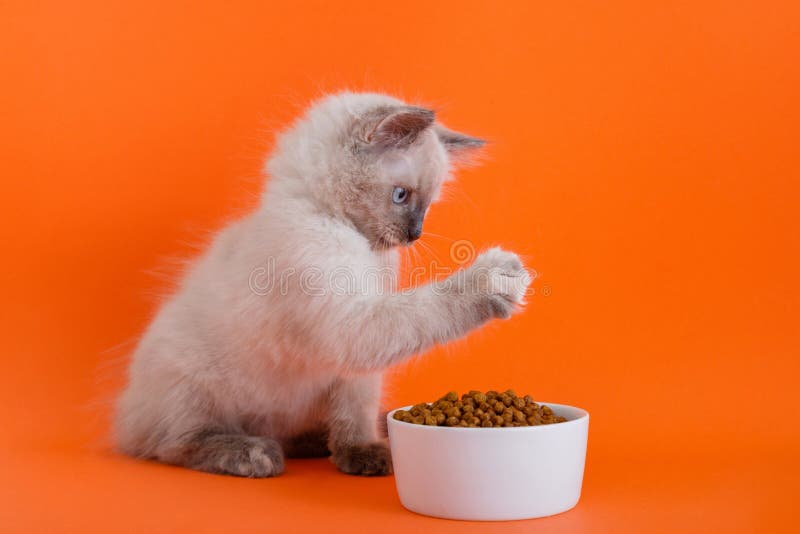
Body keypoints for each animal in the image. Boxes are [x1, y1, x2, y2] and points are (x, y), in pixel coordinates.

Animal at [115, 90, 532, 480]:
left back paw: (315, 441)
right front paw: (497, 278)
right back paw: (252, 453)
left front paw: (362, 453)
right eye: (401, 196)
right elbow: (431, 306)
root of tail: (125, 411)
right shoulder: (350, 323)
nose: (414, 234)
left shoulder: (356, 370)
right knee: (176, 445)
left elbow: (355, 415)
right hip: (189, 377)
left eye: (428, 206)